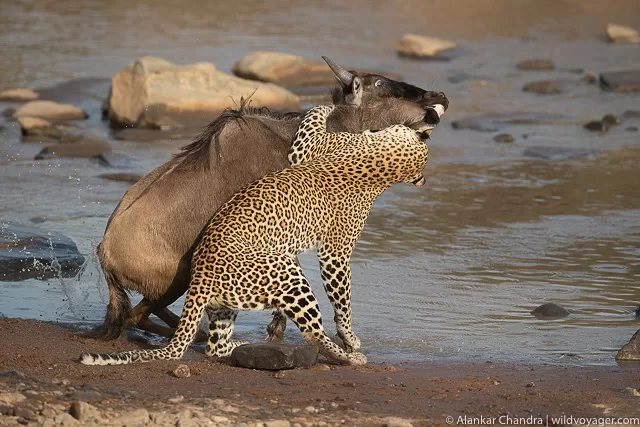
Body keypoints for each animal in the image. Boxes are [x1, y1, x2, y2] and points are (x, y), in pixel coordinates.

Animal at [80, 104, 430, 366]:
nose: (430, 112)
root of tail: (103, 252)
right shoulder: (322, 246)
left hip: (189, 286)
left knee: (152, 318)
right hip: (184, 277)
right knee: (138, 316)